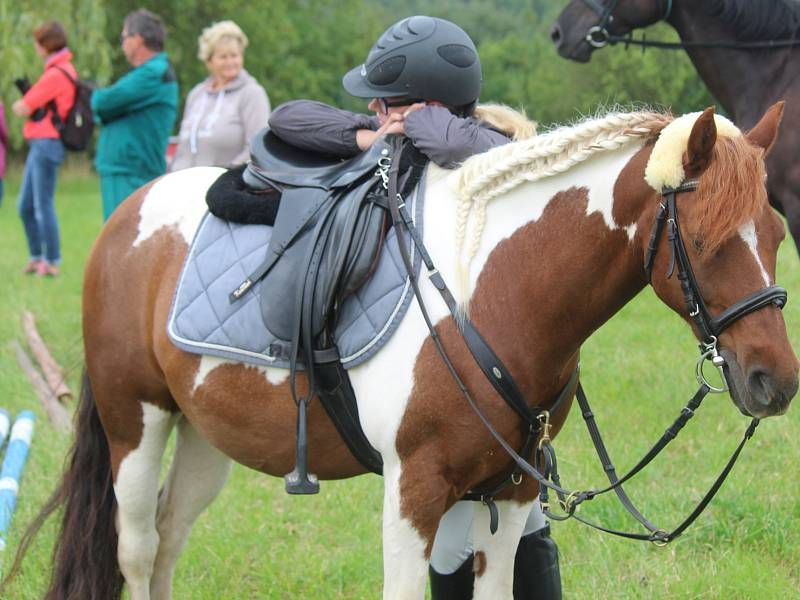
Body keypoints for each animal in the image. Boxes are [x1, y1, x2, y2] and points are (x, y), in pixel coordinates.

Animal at [9, 105, 796, 596]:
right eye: (705, 240)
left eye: (778, 232)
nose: (775, 381)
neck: (492, 295)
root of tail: (129, 215)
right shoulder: (412, 491)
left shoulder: (512, 495)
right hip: (134, 424)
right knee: (139, 550)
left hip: (205, 434)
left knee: (170, 536)